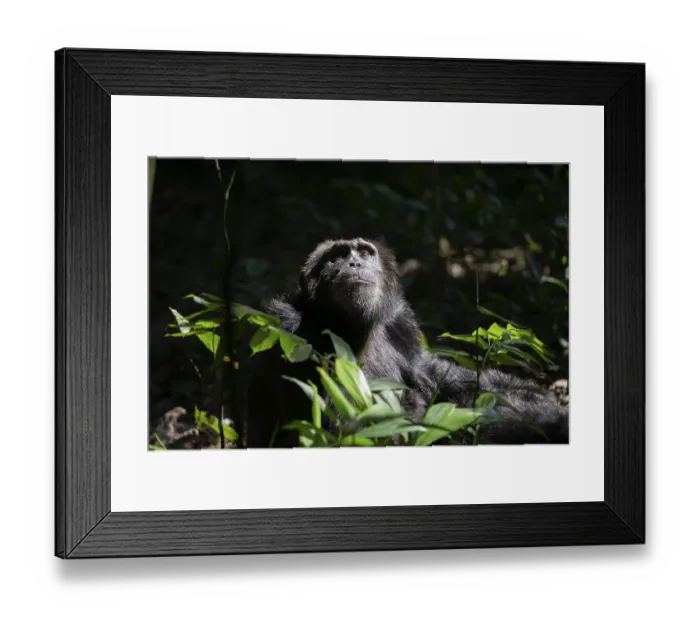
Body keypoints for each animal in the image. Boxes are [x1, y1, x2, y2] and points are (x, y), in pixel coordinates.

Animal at [245, 238, 569, 448]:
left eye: (366, 252)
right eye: (336, 255)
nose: (354, 261)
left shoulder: (401, 325)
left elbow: (438, 377)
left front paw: (536, 405)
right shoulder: (292, 333)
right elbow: (341, 423)